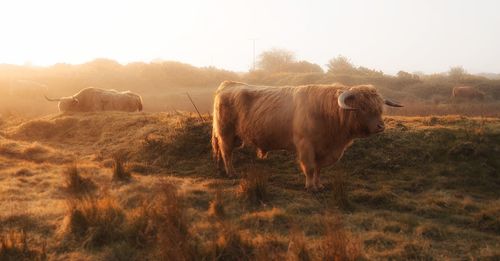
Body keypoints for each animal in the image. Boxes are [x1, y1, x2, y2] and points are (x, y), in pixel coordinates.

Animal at [211, 80, 402, 190]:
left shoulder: (324, 150)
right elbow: (309, 167)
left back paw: (220, 170)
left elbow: (318, 169)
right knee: (226, 152)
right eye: (362, 107)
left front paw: (319, 185)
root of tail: (228, 83)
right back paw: (231, 173)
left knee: (221, 151)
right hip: (226, 132)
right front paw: (310, 187)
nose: (380, 126)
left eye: (379, 108)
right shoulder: (305, 145)